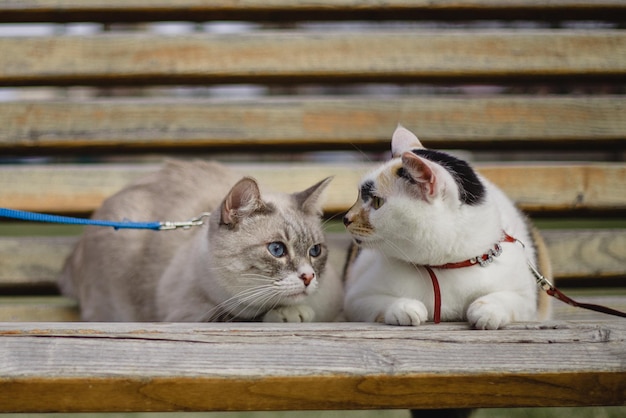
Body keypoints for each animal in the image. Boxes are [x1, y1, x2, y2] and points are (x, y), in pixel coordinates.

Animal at [58, 158, 342, 322]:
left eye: (315, 251)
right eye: (277, 249)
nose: (309, 277)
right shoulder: (190, 316)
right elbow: (243, 316)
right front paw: (290, 313)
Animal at [342, 125, 552, 328]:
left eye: (377, 202)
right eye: (359, 195)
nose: (346, 218)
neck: (445, 267)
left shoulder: (526, 298)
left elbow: (505, 299)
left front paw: (487, 311)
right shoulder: (356, 298)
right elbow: (378, 302)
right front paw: (405, 308)